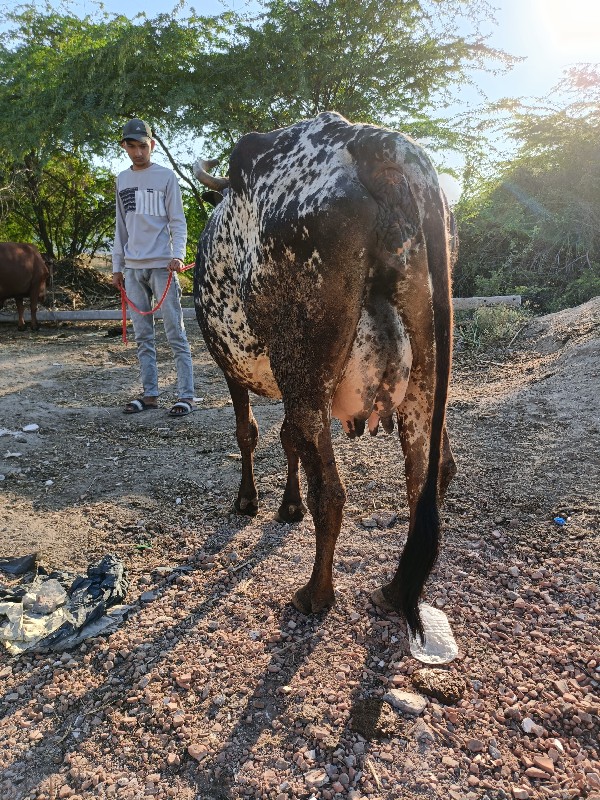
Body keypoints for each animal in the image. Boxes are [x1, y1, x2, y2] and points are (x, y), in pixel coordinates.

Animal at [193, 112, 454, 640]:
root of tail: (370, 139)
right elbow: (285, 438)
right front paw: (286, 505)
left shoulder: (230, 366)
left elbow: (249, 433)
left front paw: (250, 500)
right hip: (422, 369)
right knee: (424, 476)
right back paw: (395, 588)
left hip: (306, 374)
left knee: (332, 495)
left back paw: (315, 594)